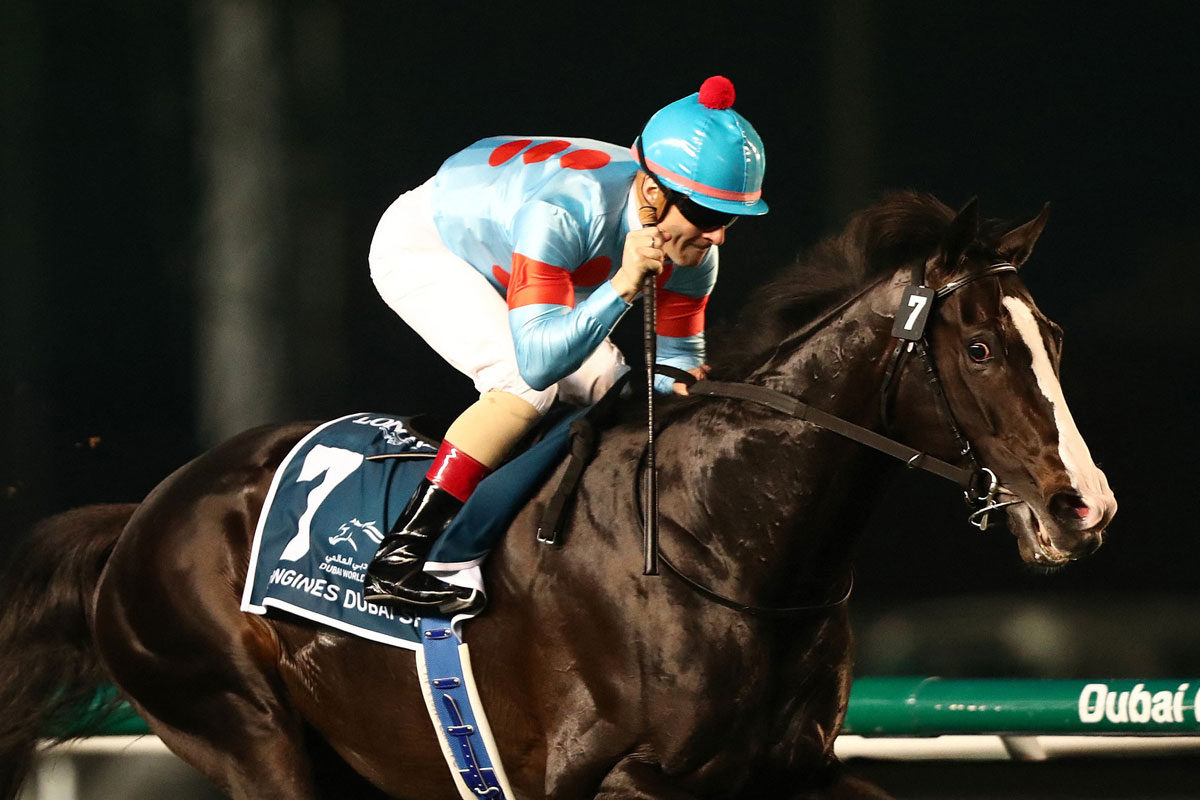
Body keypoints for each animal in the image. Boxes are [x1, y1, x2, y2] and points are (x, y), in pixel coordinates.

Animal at [0, 192, 1116, 800]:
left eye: (1053, 338)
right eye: (981, 347)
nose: (1084, 507)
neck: (727, 538)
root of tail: (142, 517)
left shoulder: (793, 769)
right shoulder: (607, 774)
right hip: (243, 728)